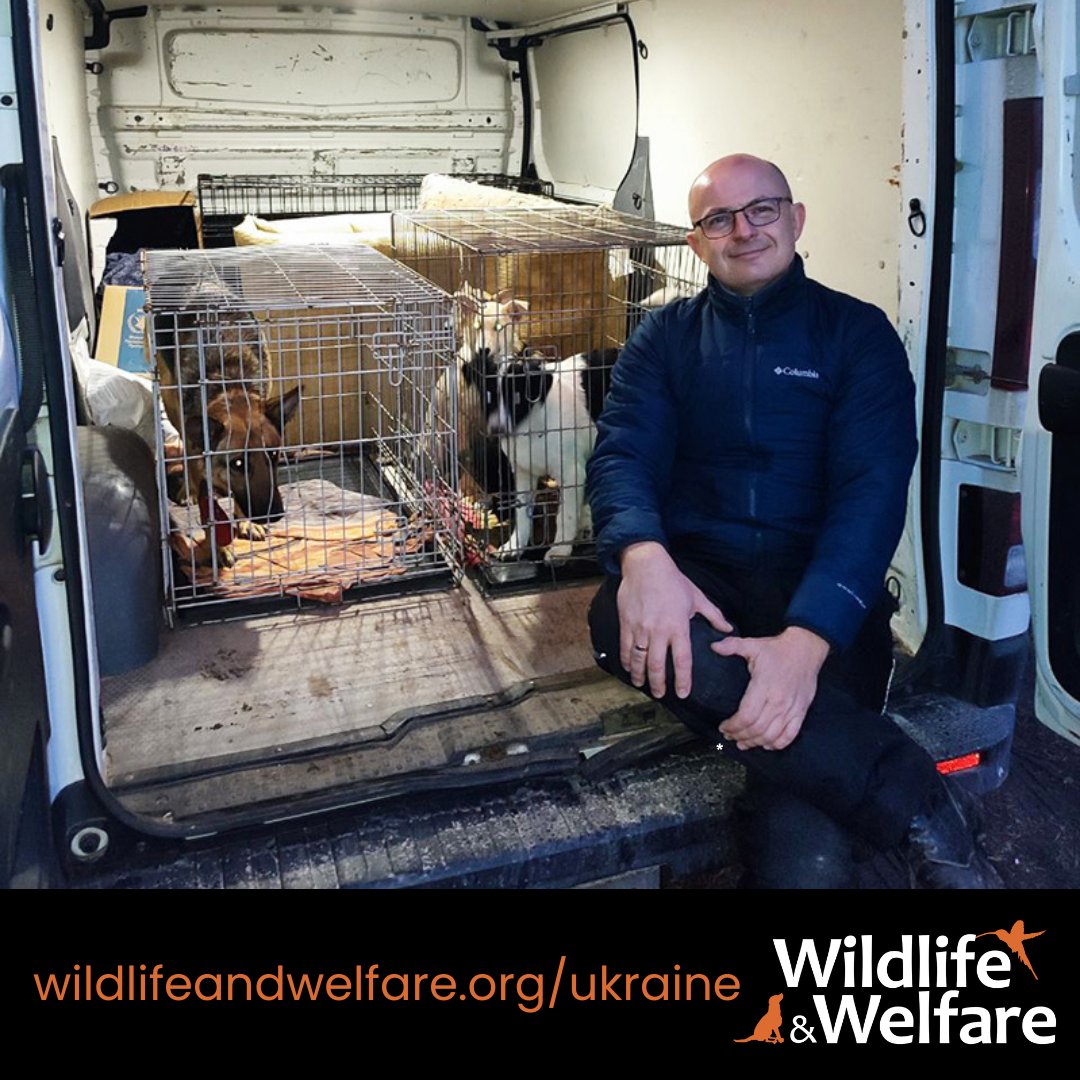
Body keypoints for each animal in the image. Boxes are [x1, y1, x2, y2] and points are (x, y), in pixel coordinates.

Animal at [153, 285, 300, 565]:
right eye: (237, 464)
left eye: (273, 455)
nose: (274, 515)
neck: (228, 384)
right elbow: (209, 513)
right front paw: (218, 549)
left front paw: (246, 522)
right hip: (170, 397)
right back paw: (187, 489)